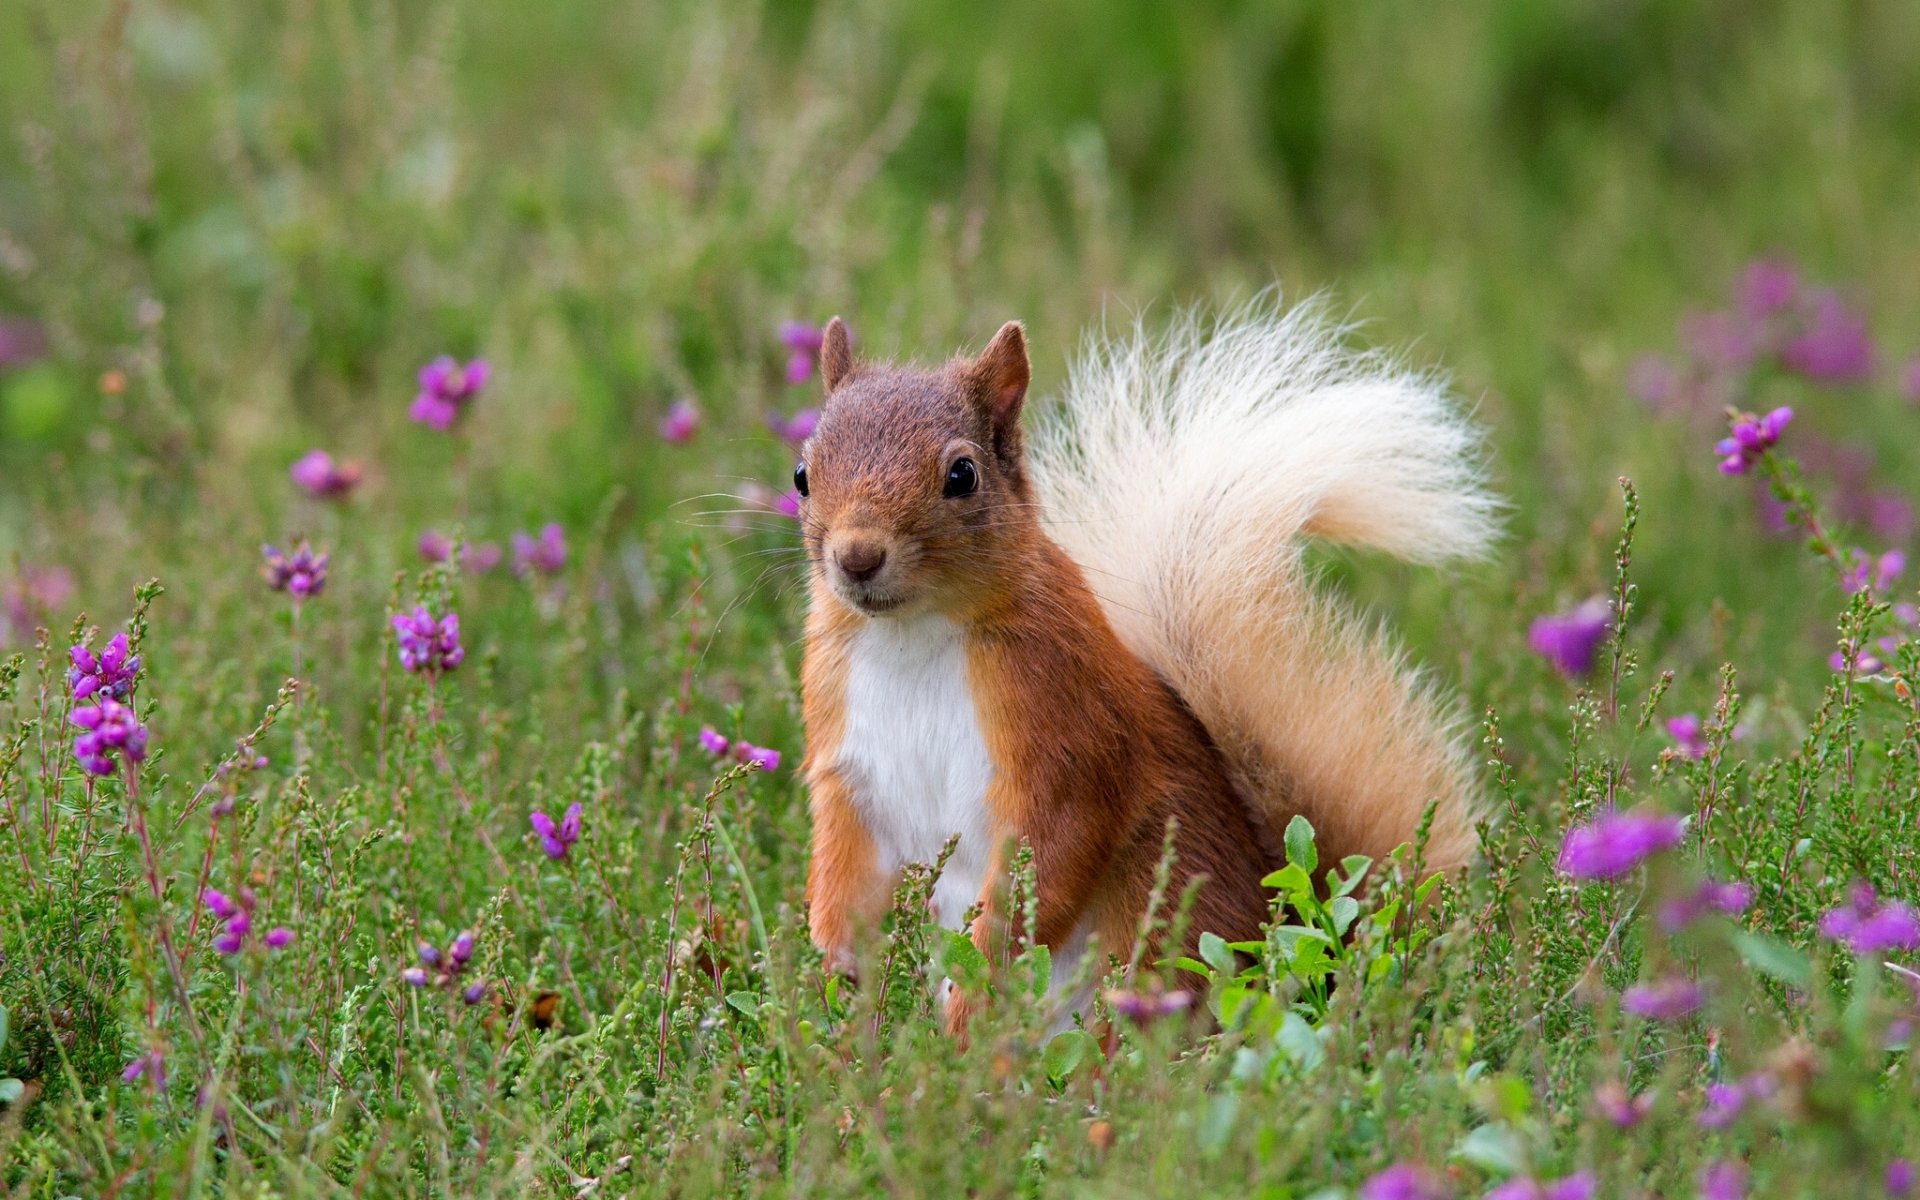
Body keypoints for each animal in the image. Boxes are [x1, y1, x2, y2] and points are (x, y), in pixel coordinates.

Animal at [792, 299, 1497, 1035]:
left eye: (962, 475)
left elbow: (1052, 855)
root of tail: (1311, 954)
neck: (911, 635)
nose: (857, 556)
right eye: (802, 475)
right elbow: (844, 867)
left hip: (1154, 951)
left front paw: (977, 995)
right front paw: (834, 974)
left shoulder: (1064, 730)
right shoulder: (849, 764)